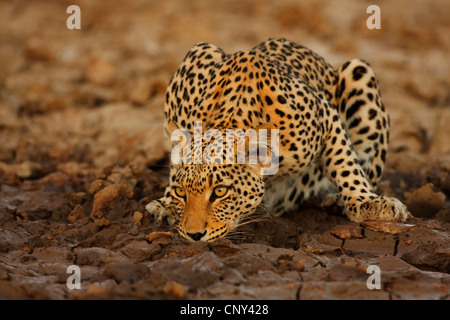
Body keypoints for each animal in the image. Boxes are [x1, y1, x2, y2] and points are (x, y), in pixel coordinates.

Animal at [145, 37, 412, 241]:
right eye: (181, 192)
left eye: (220, 192)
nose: (194, 235)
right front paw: (166, 205)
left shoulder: (325, 113)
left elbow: (344, 162)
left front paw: (368, 202)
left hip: (359, 73)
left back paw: (336, 200)